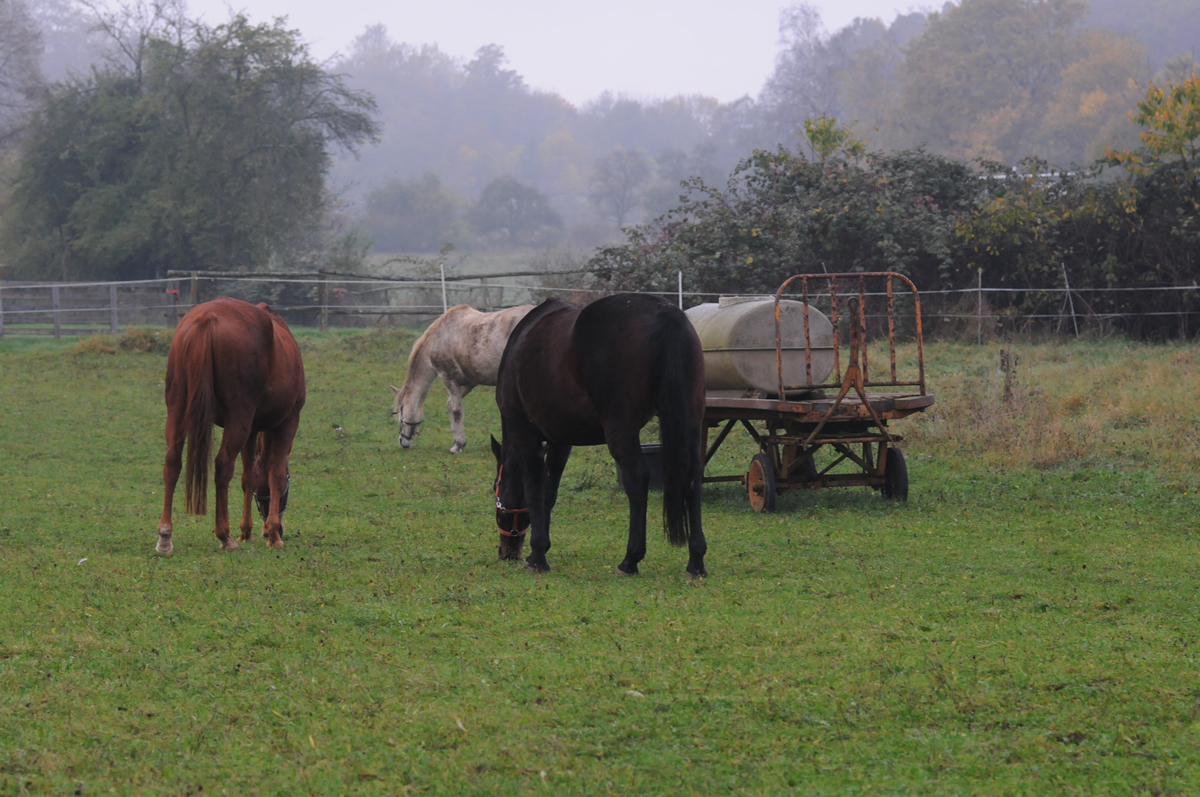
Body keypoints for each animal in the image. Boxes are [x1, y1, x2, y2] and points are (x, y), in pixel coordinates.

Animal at [154, 298, 307, 554]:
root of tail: (207, 318)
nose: (275, 528)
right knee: (223, 465)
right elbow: (274, 475)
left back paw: (165, 536)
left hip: (177, 409)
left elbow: (250, 477)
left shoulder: (252, 430)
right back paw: (224, 535)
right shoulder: (287, 422)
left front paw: (247, 531)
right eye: (290, 479)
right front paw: (273, 535)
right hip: (239, 417)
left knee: (172, 462)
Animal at [391, 304, 532, 453]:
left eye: (400, 416)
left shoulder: (449, 378)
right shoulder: (468, 384)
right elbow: (450, 405)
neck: (438, 338)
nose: (403, 442)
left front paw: (458, 445)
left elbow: (456, 410)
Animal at [489, 295, 705, 576]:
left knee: (637, 479)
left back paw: (630, 560)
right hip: (691, 421)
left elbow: (535, 490)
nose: (506, 551)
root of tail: (664, 311)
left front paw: (537, 556)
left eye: (496, 487)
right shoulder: (560, 441)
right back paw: (696, 560)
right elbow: (549, 492)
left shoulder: (525, 433)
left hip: (621, 429)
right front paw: (542, 549)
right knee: (693, 475)